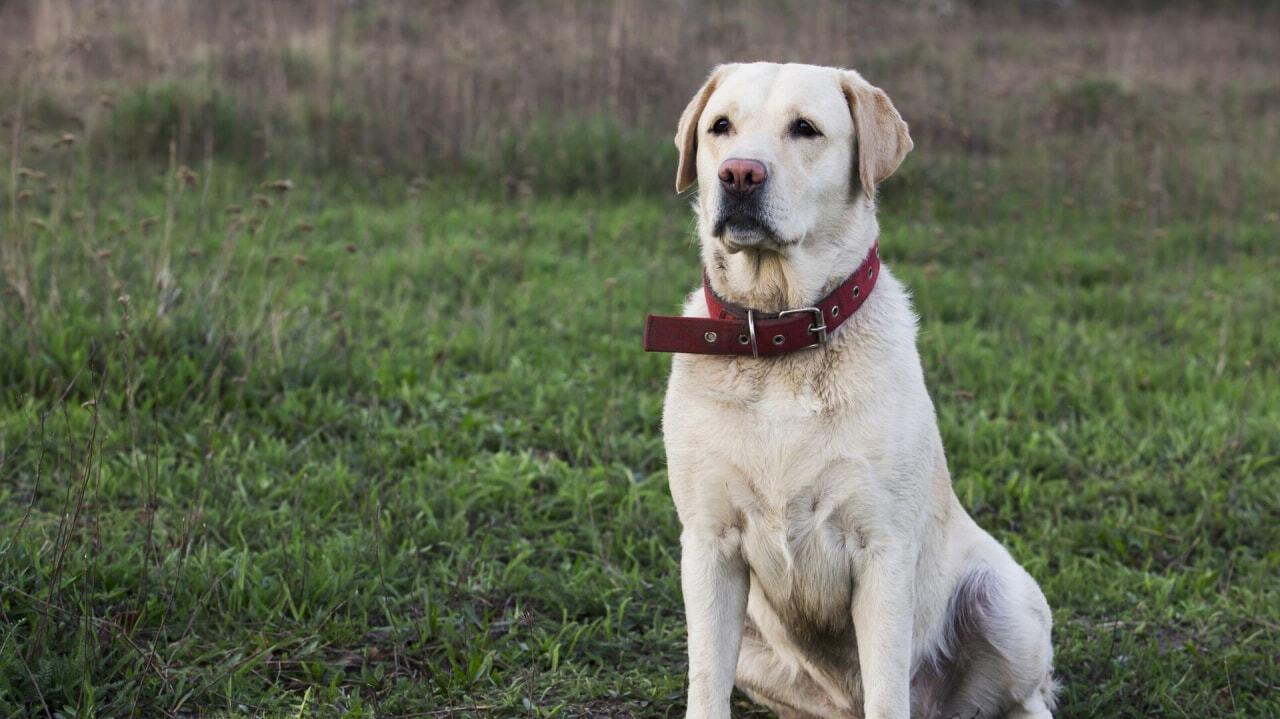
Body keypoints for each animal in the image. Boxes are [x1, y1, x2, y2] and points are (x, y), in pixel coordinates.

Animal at [645, 63, 1054, 716]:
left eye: (805, 129)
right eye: (720, 126)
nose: (739, 173)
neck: (779, 336)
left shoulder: (882, 550)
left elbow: (888, 691)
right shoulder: (709, 546)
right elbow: (706, 687)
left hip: (1002, 598)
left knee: (1023, 695)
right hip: (757, 653)